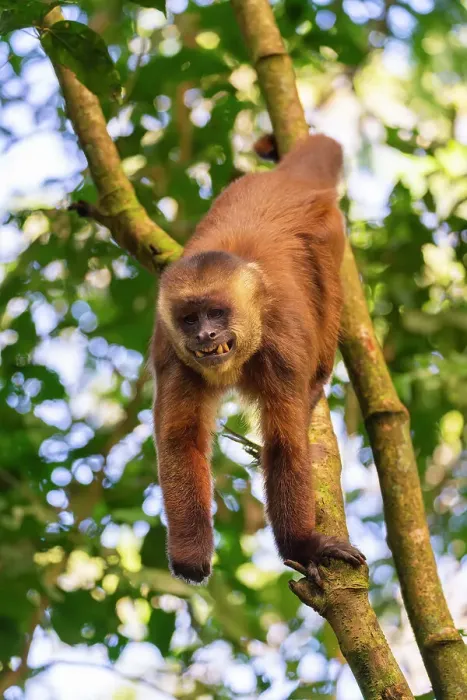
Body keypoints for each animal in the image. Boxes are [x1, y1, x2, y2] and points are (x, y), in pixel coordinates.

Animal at [151, 133, 366, 586]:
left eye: (216, 314)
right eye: (191, 318)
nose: (205, 335)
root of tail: (288, 181)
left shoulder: (281, 348)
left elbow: (285, 445)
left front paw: (302, 546)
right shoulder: (172, 353)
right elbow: (180, 440)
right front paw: (190, 554)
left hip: (330, 233)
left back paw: (316, 386)